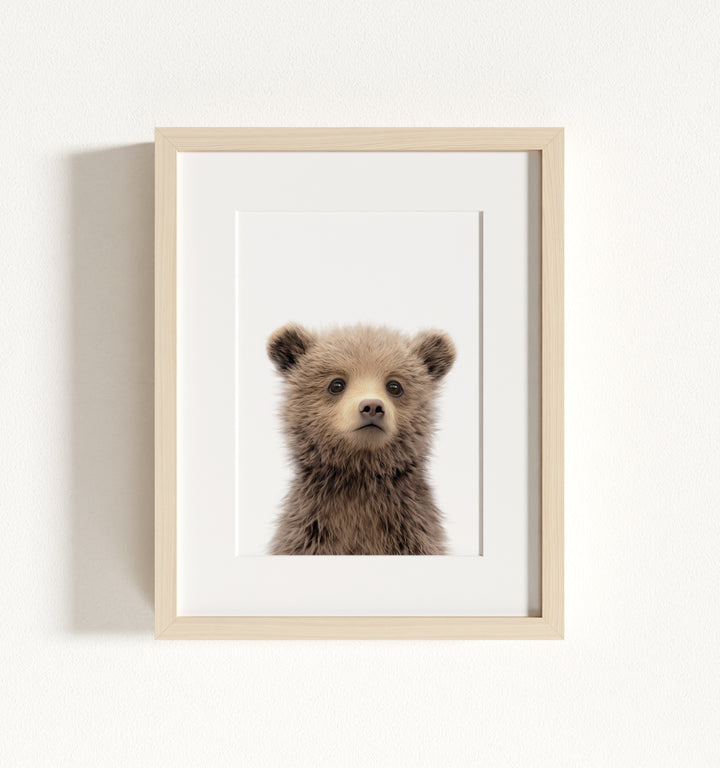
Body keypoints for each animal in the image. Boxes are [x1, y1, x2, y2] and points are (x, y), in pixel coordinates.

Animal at [266, 322, 456, 555]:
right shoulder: (309, 532)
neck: (359, 476)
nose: (372, 406)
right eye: (336, 384)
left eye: (394, 386)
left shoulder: (411, 532)